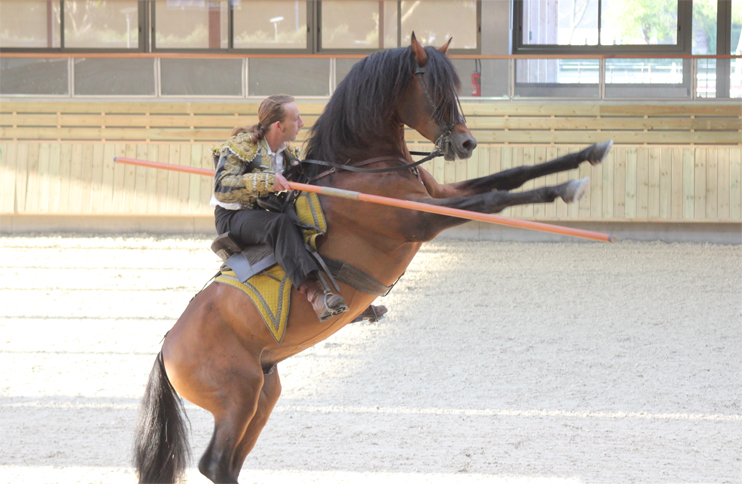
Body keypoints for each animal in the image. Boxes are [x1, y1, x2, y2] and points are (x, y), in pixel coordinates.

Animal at [135, 33, 616, 480]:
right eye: (433, 88)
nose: (466, 143)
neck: (363, 169)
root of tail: (166, 347)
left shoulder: (440, 195)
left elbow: (512, 174)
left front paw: (589, 153)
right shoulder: (422, 219)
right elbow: (494, 197)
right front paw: (567, 189)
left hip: (263, 393)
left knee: (228, 463)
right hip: (237, 397)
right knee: (216, 463)